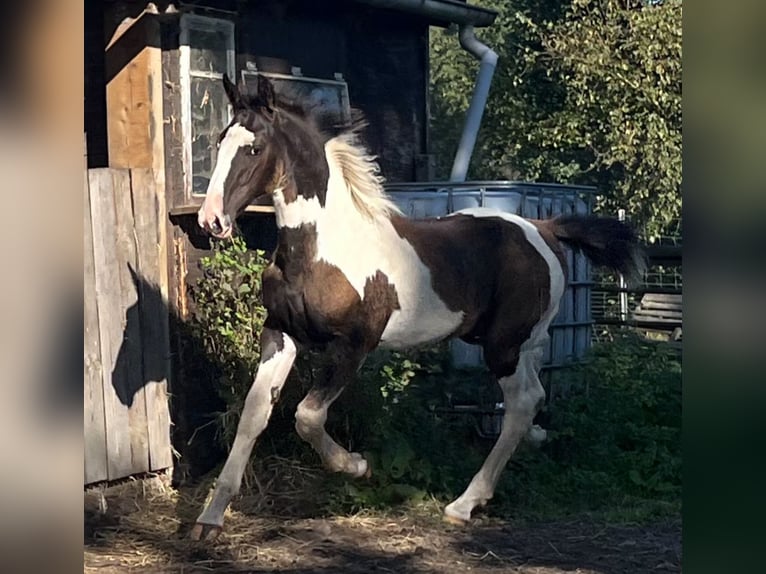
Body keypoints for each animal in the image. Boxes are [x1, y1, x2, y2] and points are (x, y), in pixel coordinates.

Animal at [189, 75, 644, 540]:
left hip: (502, 347)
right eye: (220, 140)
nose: (211, 220)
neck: (321, 249)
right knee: (534, 398)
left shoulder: (353, 344)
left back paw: (463, 504)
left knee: (520, 403)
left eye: (254, 148)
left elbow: (308, 416)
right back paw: (532, 443)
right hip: (518, 342)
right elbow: (253, 415)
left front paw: (357, 466)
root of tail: (544, 227)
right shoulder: (281, 334)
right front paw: (209, 519)